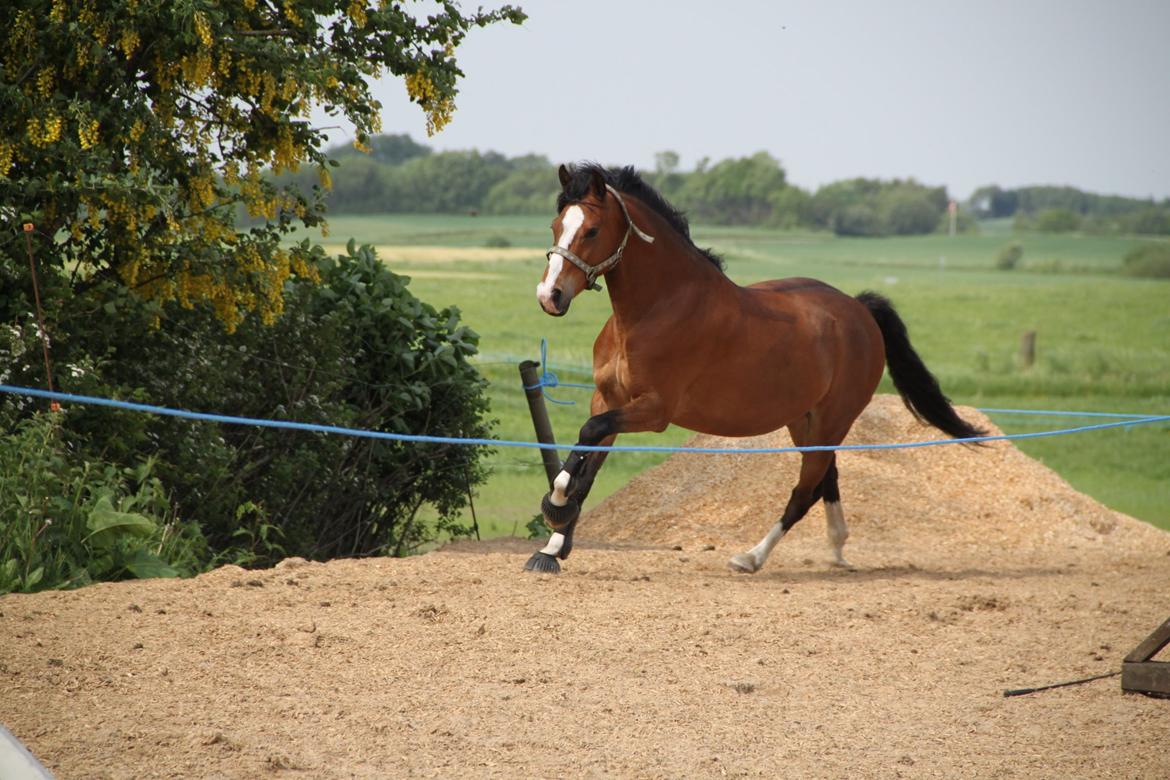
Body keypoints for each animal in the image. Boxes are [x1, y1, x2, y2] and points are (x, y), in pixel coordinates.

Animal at [526, 164, 982, 577]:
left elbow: (585, 443)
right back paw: (837, 549)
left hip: (834, 418)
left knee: (805, 491)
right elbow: (588, 462)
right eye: (555, 225)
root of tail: (859, 310)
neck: (657, 308)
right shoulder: (608, 399)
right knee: (827, 478)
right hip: (805, 420)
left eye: (591, 230)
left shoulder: (654, 410)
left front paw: (555, 506)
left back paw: (751, 558)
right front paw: (552, 549)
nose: (550, 296)